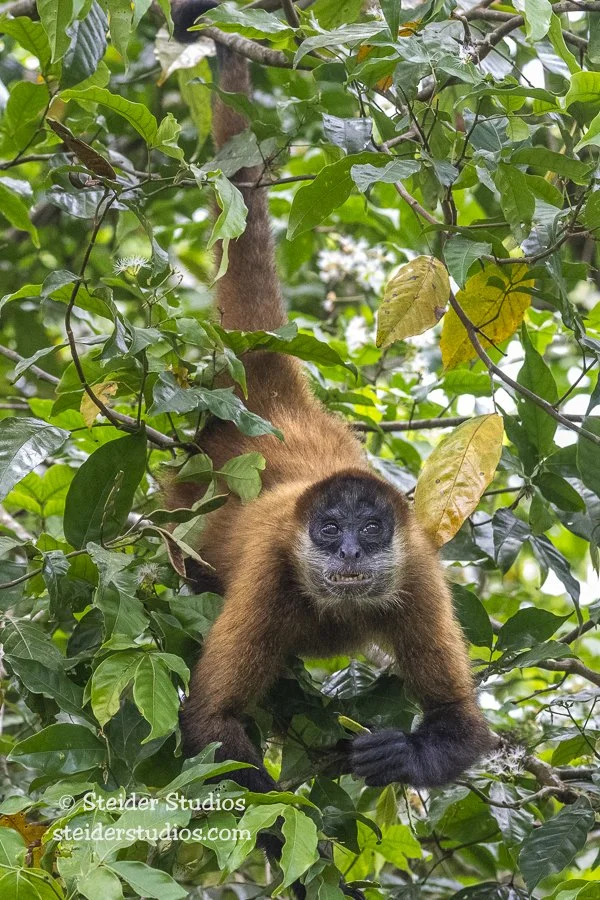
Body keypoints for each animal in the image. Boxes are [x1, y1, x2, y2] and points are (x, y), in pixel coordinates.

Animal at [168, 0, 493, 837]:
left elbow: (464, 726)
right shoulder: (272, 574)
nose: (348, 552)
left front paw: (405, 755)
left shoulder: (417, 571)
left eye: (372, 531)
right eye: (328, 530)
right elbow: (211, 720)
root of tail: (275, 404)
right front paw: (284, 832)